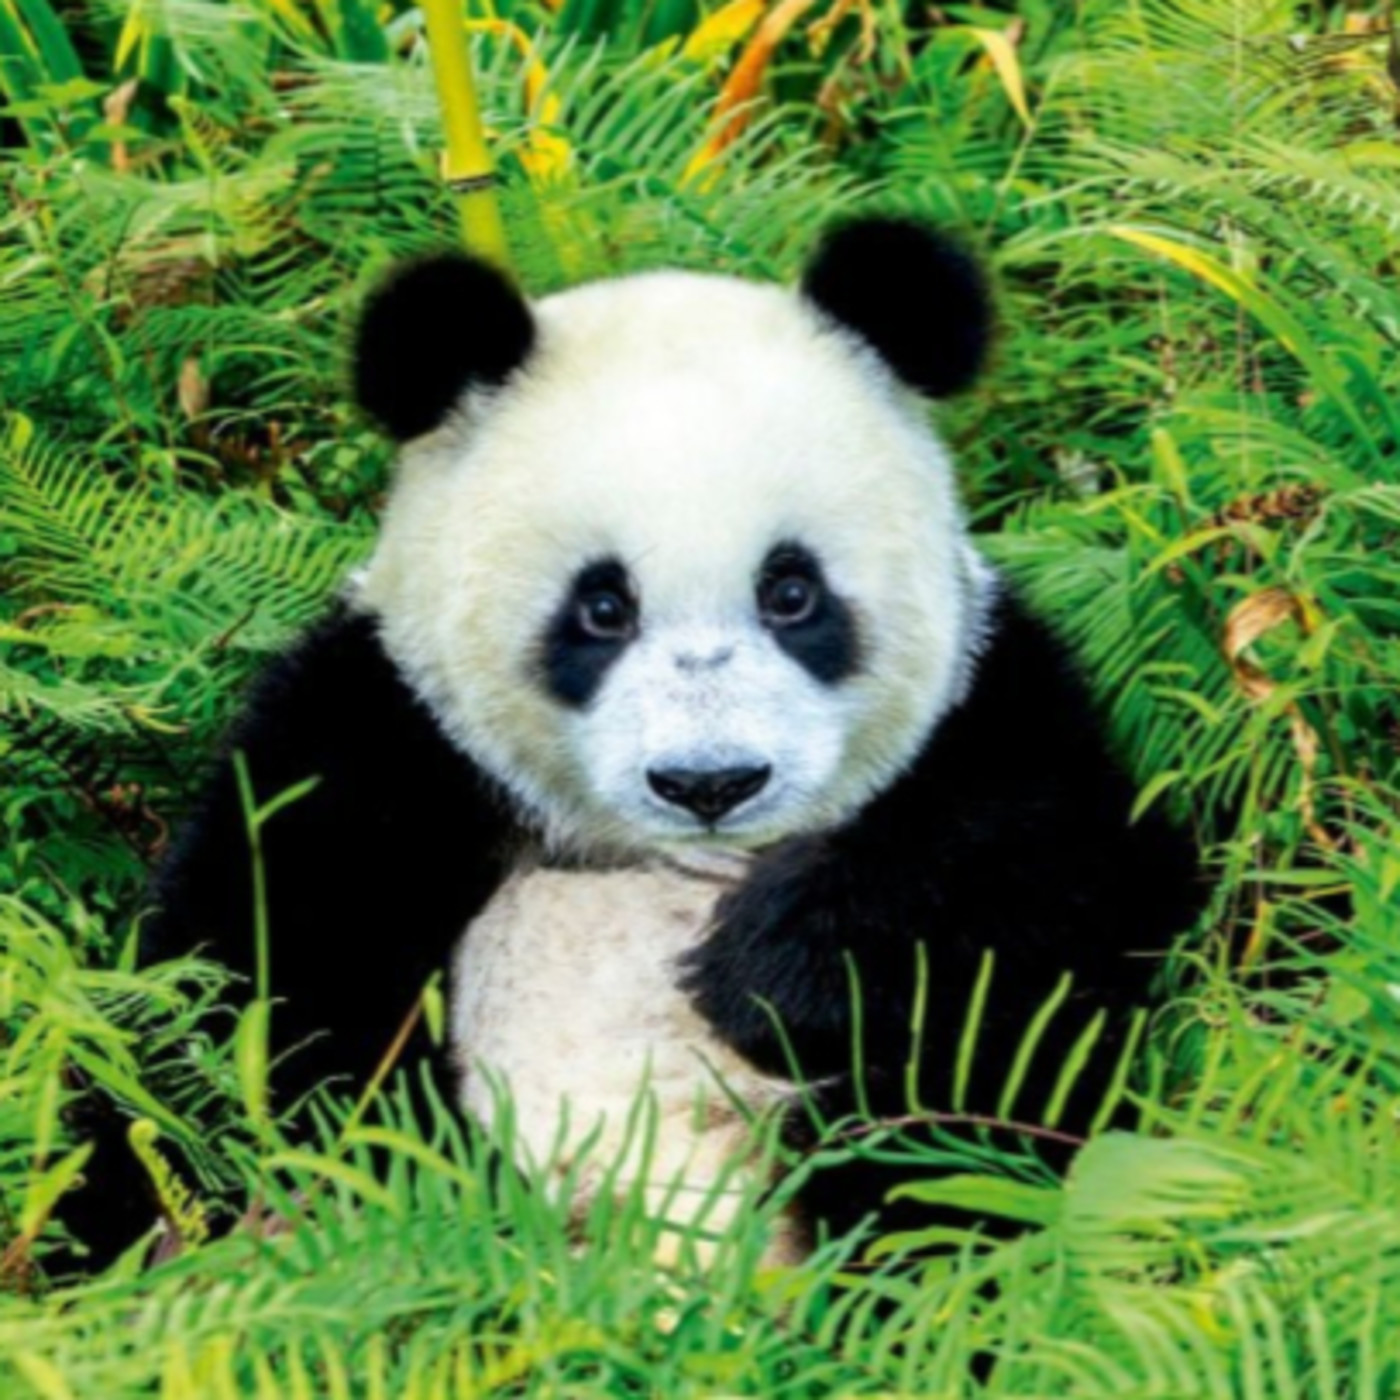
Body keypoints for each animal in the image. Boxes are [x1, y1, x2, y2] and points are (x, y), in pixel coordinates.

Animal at [80, 217, 1202, 1268]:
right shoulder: (382, 732)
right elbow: (233, 991)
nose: (710, 782)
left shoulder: (994, 707)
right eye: (602, 607)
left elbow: (1064, 886)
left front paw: (771, 960)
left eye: (791, 593)